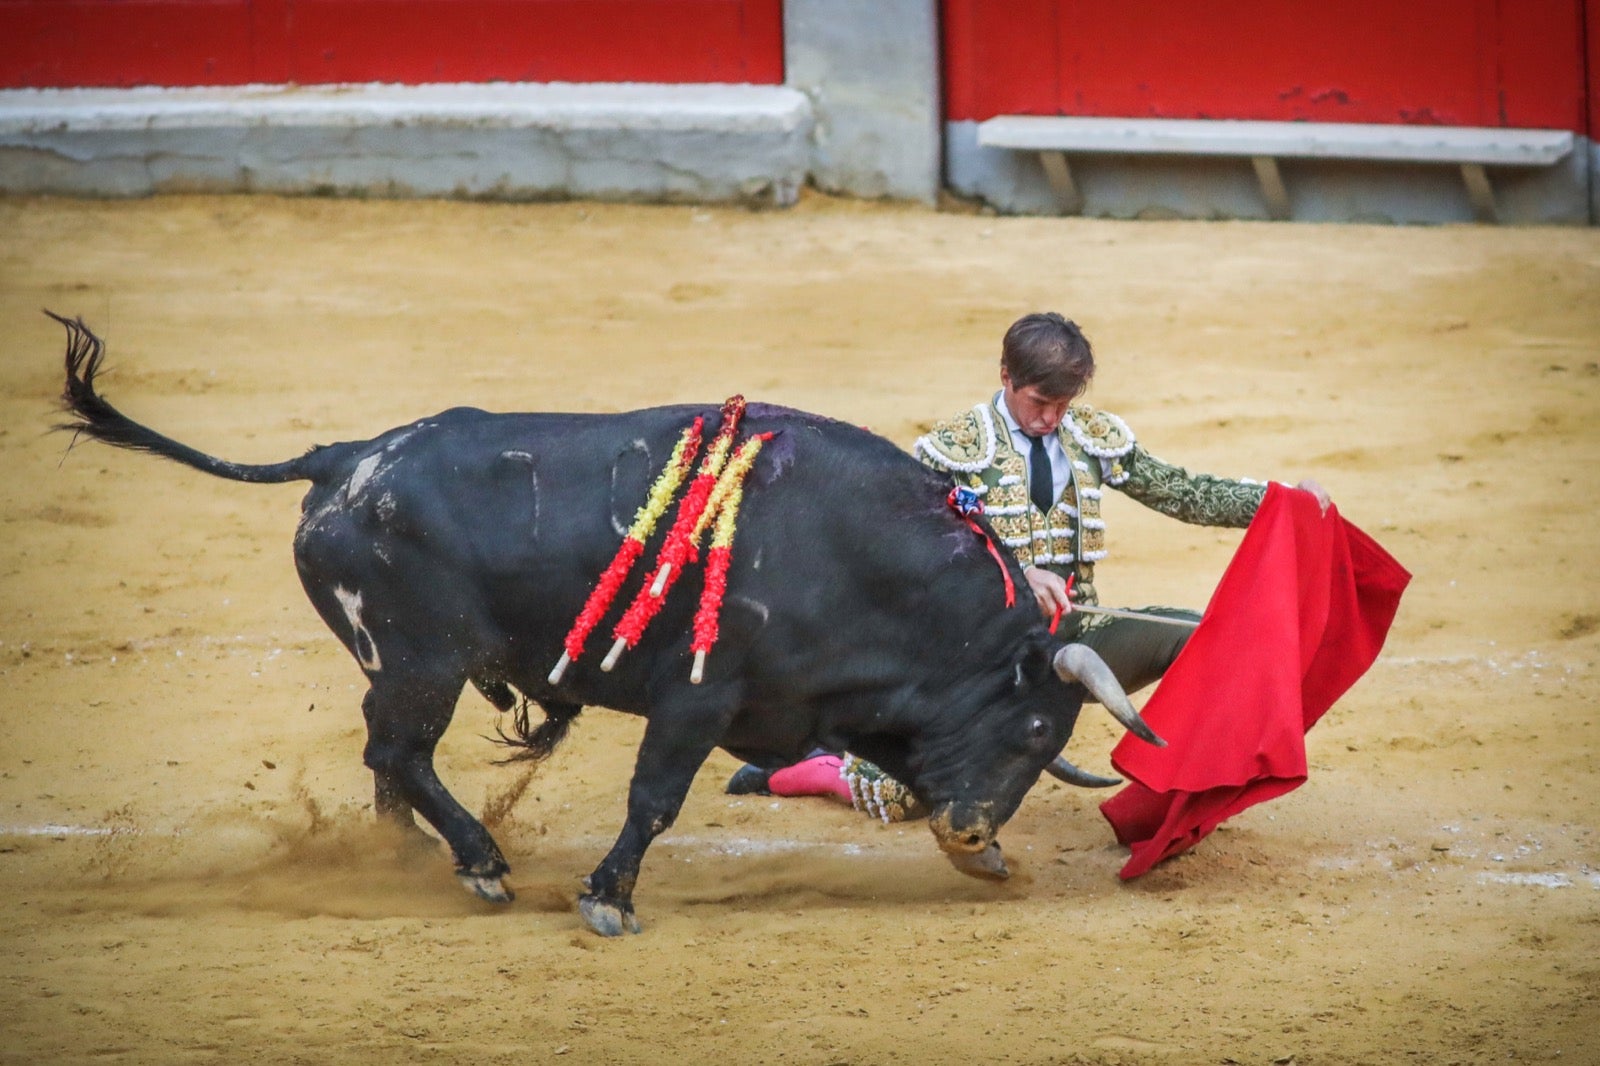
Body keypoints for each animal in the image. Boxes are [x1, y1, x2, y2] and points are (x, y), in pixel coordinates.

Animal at [50, 312, 1164, 934]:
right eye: (1033, 727)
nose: (975, 829)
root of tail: (345, 457)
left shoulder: (833, 705)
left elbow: (890, 762)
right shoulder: (696, 700)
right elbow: (654, 801)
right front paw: (607, 899)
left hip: (400, 666)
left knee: (386, 755)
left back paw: (406, 863)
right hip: (422, 661)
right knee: (400, 751)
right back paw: (477, 864)